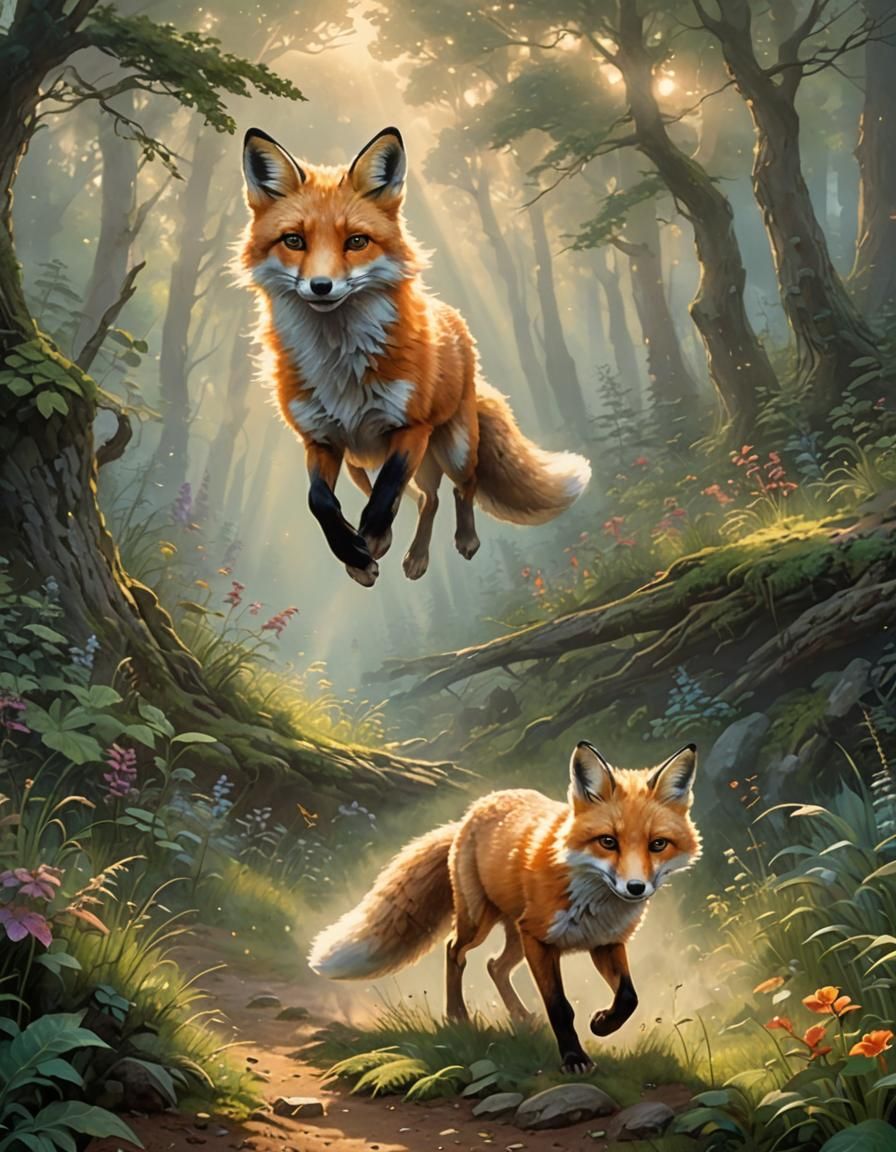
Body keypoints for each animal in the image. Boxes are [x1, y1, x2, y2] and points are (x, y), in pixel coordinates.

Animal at [239, 126, 591, 588]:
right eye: (294, 241)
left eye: (356, 241)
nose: (321, 286)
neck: (340, 364)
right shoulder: (320, 439)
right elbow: (321, 502)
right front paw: (353, 552)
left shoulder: (411, 428)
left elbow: (384, 494)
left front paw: (368, 541)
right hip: (359, 462)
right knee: (424, 498)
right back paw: (408, 555)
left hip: (453, 448)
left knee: (459, 487)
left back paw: (461, 540)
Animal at [308, 741, 701, 1072]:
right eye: (608, 841)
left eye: (657, 844)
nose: (635, 888)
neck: (592, 899)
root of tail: (471, 812)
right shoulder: (541, 942)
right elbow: (560, 1007)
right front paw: (573, 1058)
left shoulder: (605, 942)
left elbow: (628, 998)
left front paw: (603, 1024)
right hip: (481, 922)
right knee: (455, 950)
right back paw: (457, 1016)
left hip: (515, 935)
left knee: (495, 966)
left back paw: (520, 1017)